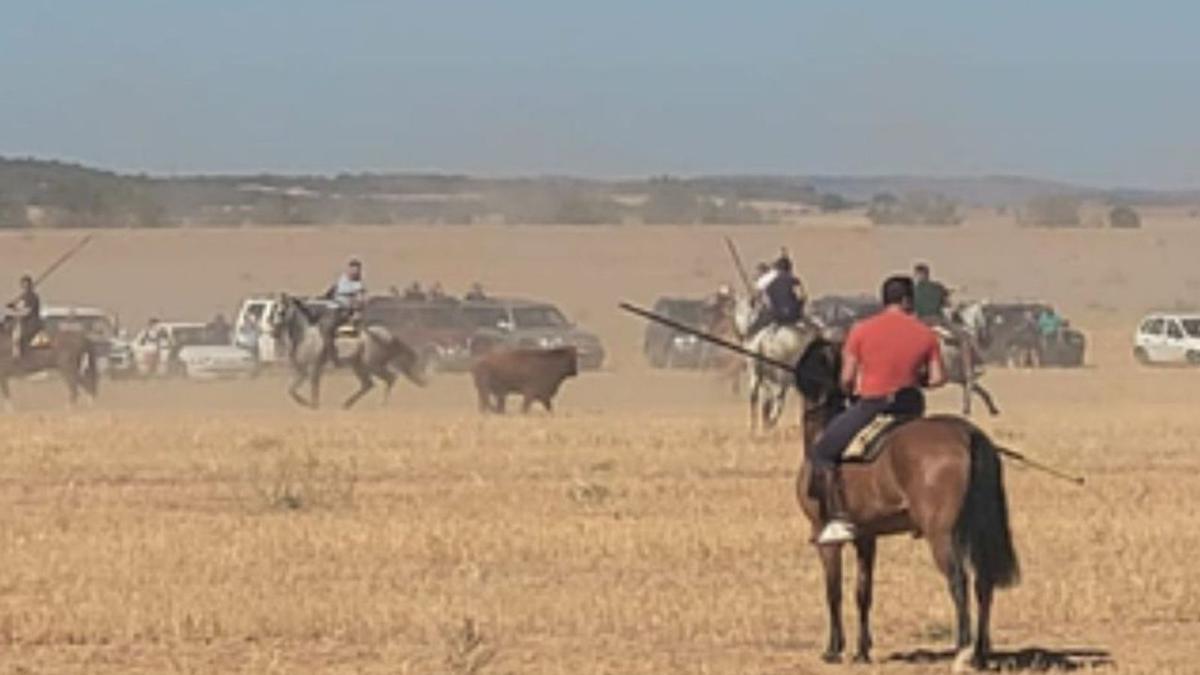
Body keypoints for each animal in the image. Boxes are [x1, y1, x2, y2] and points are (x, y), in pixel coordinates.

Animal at [272, 295, 427, 410]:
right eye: (275, 310)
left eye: (282, 311)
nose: (274, 330)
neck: (305, 337)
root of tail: (387, 334)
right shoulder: (301, 371)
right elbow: (291, 390)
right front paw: (305, 403)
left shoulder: (314, 369)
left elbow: (313, 389)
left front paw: (313, 405)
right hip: (359, 366)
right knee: (368, 385)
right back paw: (347, 404)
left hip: (373, 365)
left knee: (391, 378)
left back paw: (382, 405)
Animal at [792, 338, 1017, 662]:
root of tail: (967, 434)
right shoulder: (866, 537)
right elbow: (863, 591)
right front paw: (862, 651)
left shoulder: (825, 537)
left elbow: (833, 592)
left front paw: (833, 649)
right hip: (976, 530)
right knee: (983, 582)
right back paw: (980, 651)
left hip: (943, 534)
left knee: (959, 580)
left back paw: (963, 648)